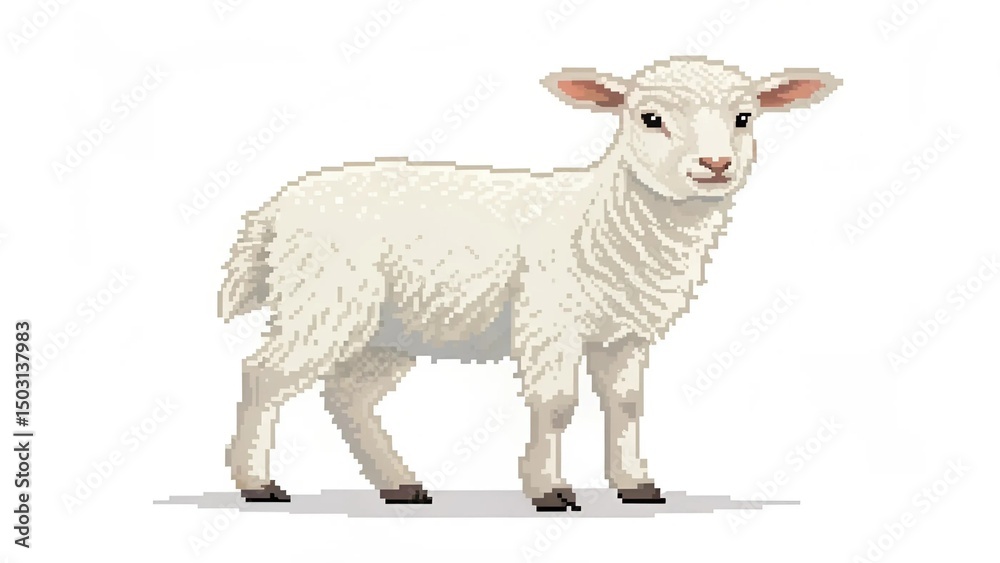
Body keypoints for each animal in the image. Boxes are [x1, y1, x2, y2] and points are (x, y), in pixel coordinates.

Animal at [219, 56, 841, 511]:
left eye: (745, 117)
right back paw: (256, 483)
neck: (606, 216)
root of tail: (275, 207)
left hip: (387, 325)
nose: (714, 165)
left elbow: (627, 404)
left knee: (347, 396)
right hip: (324, 295)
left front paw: (635, 484)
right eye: (650, 118)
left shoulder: (625, 332)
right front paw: (549, 490)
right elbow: (558, 404)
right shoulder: (550, 320)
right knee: (265, 373)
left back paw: (399, 484)